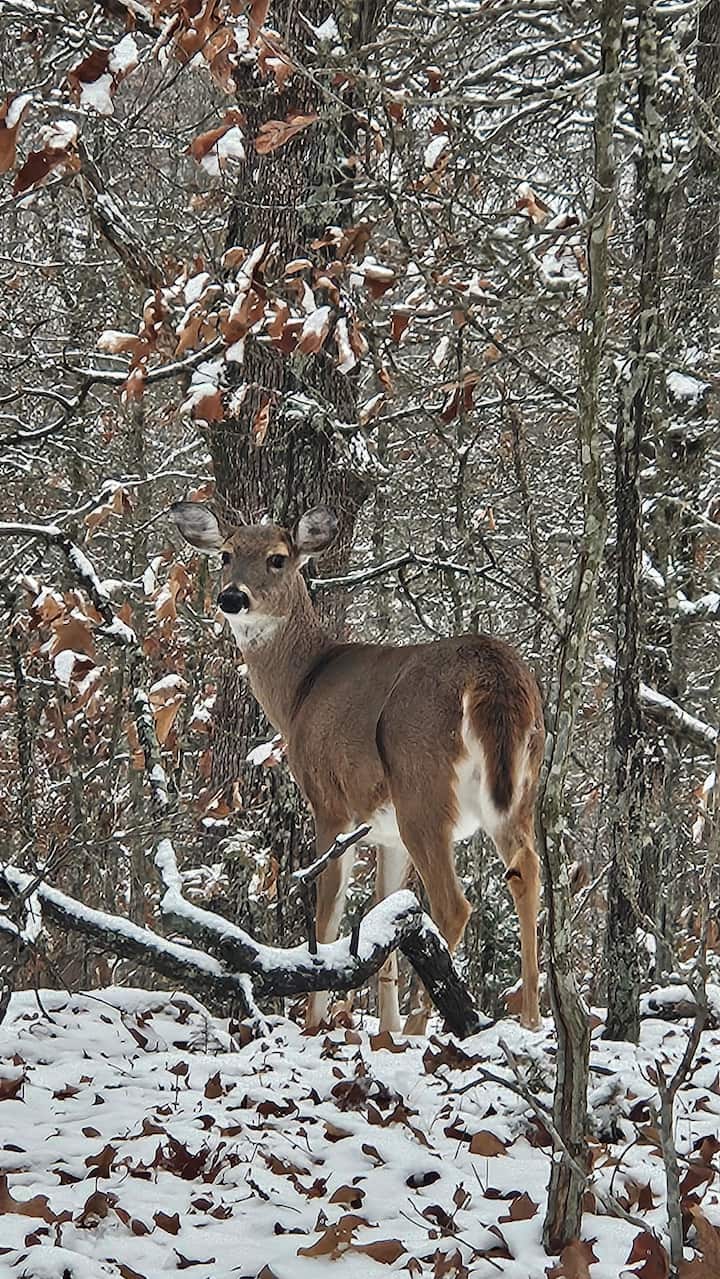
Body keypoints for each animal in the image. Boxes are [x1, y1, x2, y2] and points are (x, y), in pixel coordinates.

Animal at [171, 500, 545, 1034]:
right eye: (225, 555)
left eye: (278, 558)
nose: (232, 597)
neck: (301, 689)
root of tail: (493, 672)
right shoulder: (385, 831)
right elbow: (384, 916)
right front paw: (384, 1032)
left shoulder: (330, 803)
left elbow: (328, 916)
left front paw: (317, 1022)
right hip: (517, 787)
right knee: (526, 870)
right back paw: (532, 1019)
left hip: (422, 785)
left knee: (453, 905)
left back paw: (428, 1026)